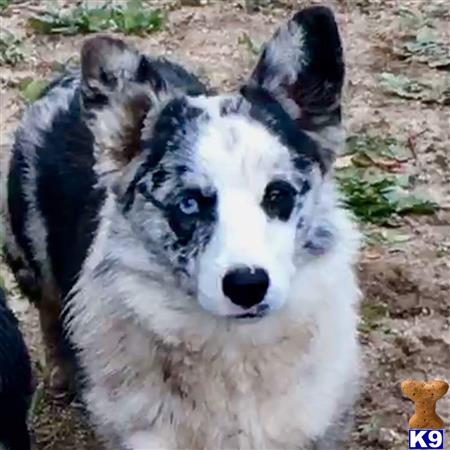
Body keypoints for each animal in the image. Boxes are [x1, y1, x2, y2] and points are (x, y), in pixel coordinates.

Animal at [1, 7, 360, 450]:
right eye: (189, 203)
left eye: (278, 194)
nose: (248, 285)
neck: (233, 349)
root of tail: (65, 80)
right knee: (50, 308)